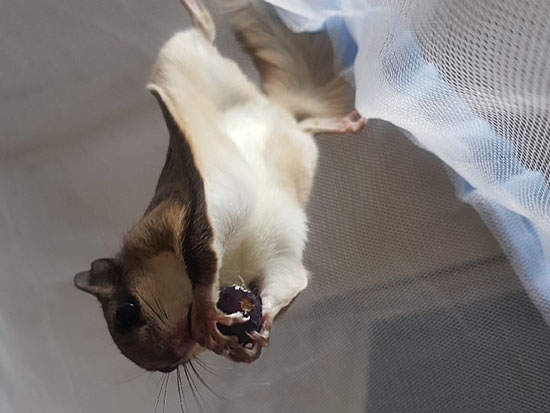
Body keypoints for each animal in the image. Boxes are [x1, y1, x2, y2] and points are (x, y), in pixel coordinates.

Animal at [74, 0, 365, 372]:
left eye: (125, 313)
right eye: (167, 369)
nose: (170, 359)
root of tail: (270, 106)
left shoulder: (183, 217)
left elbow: (203, 265)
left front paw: (204, 315)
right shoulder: (281, 260)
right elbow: (283, 285)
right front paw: (248, 341)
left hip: (179, 60)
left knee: (202, 34)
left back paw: (196, 11)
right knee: (304, 123)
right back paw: (340, 123)